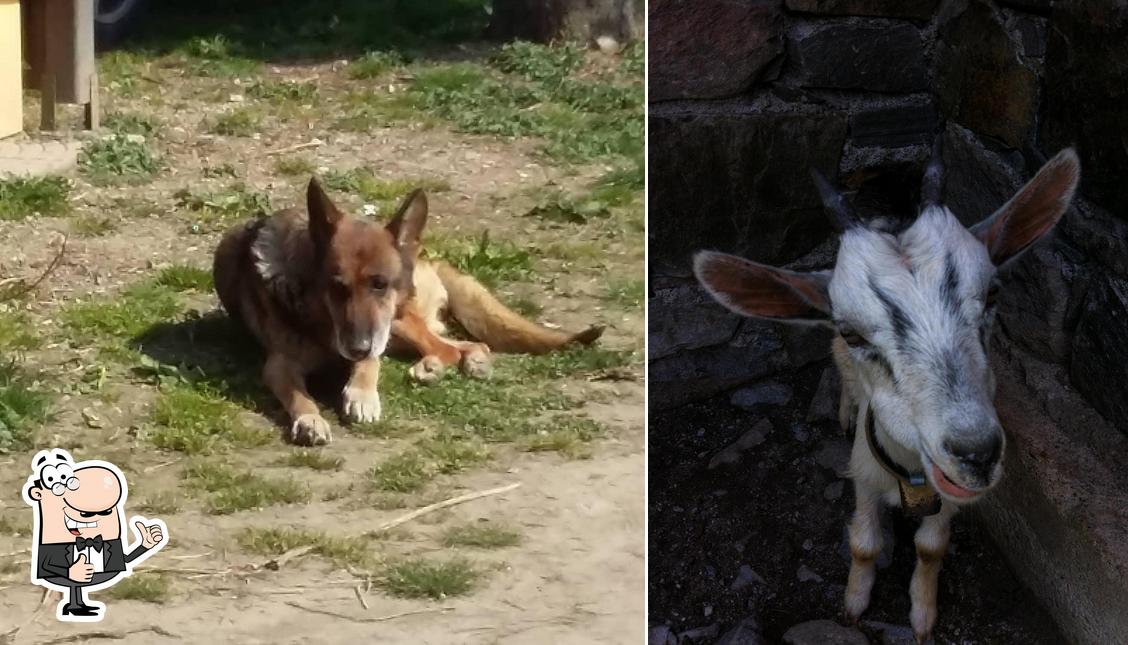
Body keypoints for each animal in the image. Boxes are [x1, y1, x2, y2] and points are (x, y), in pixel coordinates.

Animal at [216, 179, 613, 446]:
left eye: (380, 284)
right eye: (337, 287)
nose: (355, 346)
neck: (324, 324)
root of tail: (426, 257)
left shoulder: (375, 334)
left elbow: (368, 366)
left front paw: (362, 395)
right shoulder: (280, 366)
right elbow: (300, 396)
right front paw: (311, 420)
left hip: (399, 323)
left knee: (448, 347)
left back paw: (437, 367)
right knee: (464, 345)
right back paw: (461, 362)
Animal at [690, 143, 1078, 640]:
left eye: (993, 293)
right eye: (851, 331)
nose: (976, 452)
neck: (908, 476)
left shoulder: (944, 493)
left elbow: (932, 547)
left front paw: (922, 615)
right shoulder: (864, 476)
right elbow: (864, 543)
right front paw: (854, 604)